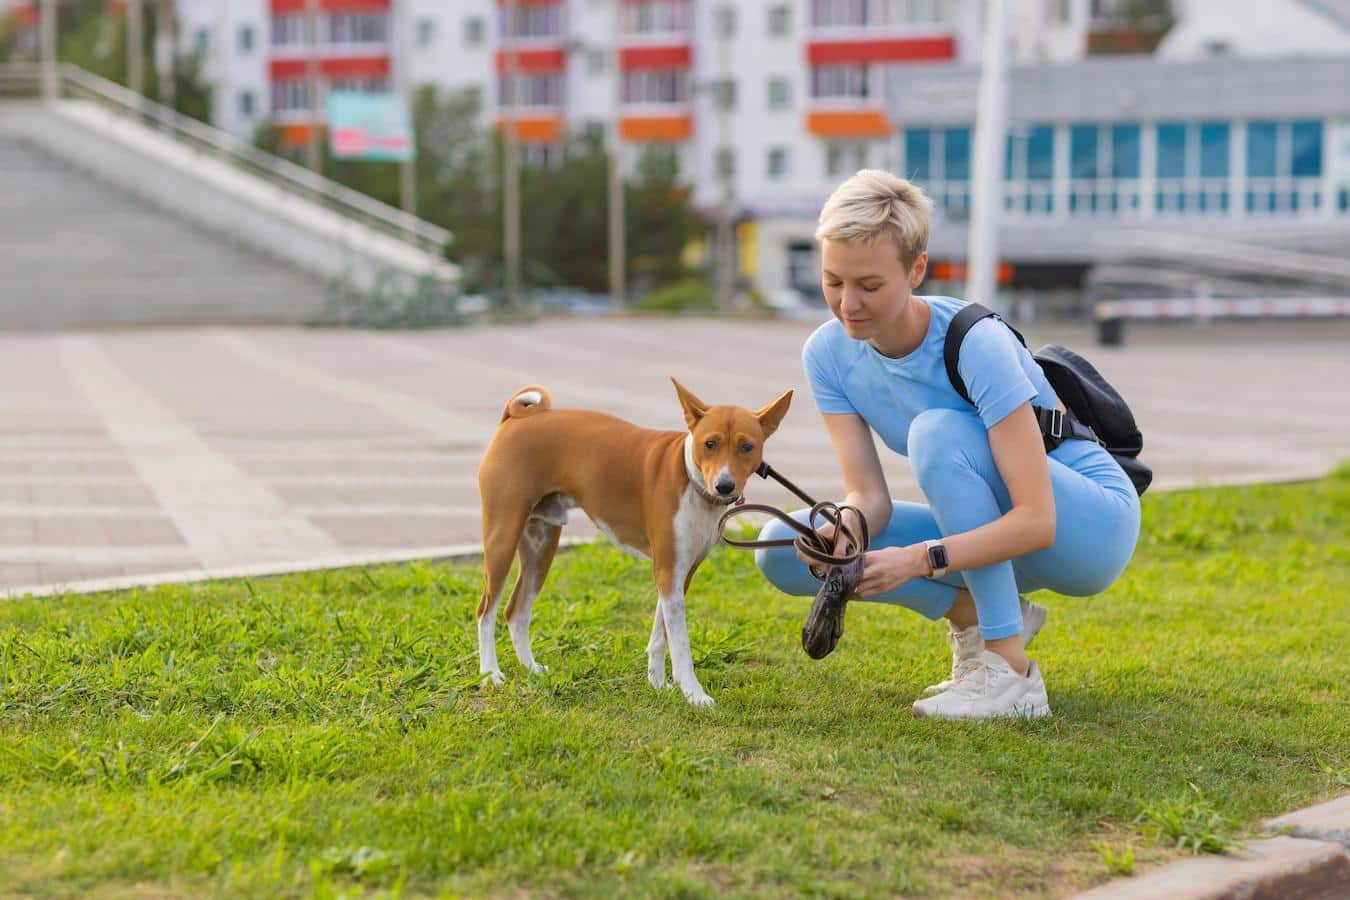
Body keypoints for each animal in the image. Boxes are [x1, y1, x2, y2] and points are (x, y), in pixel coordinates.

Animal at [475, 377, 788, 707]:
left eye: (747, 446)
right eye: (710, 443)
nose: (725, 485)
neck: (691, 481)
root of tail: (514, 419)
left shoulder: (679, 572)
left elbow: (660, 636)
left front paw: (658, 684)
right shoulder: (668, 571)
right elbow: (680, 645)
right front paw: (693, 693)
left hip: (540, 546)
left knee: (516, 612)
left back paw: (531, 669)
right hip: (502, 538)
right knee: (486, 611)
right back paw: (490, 674)